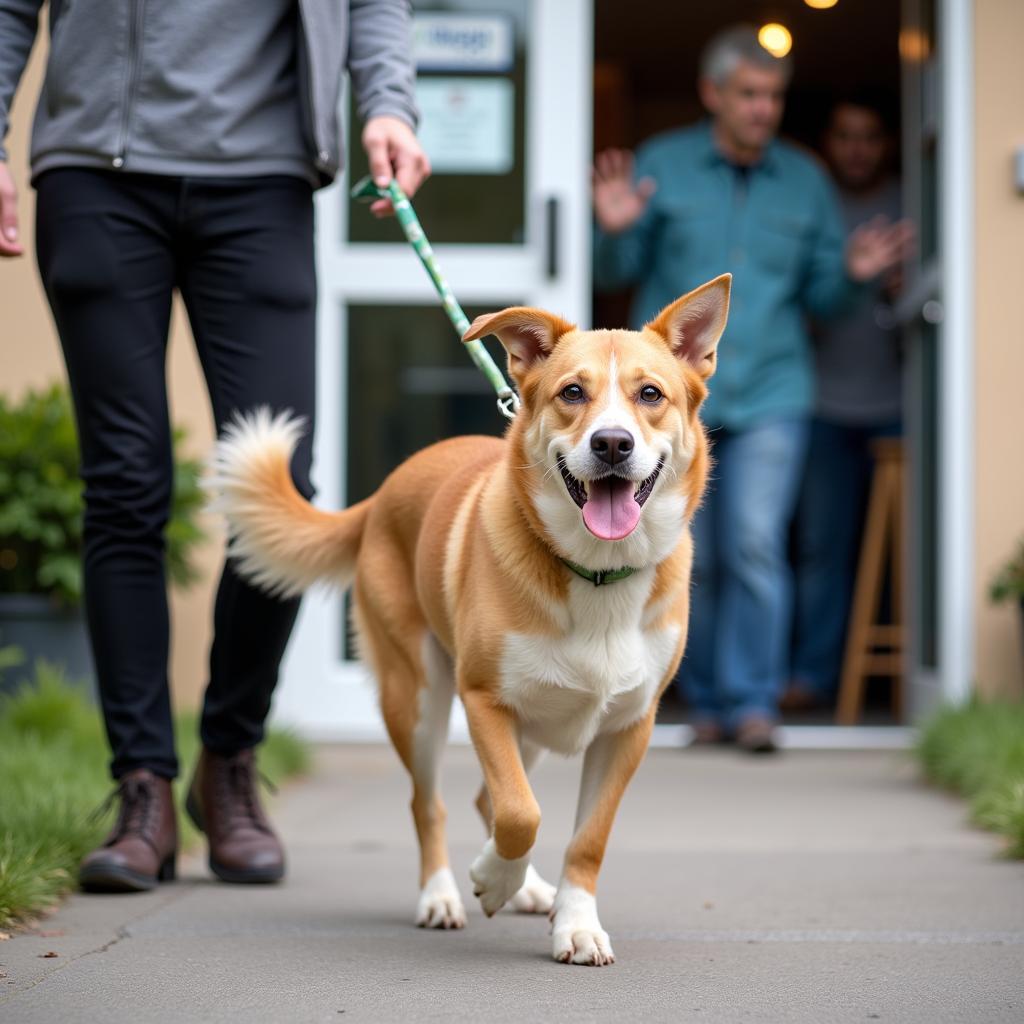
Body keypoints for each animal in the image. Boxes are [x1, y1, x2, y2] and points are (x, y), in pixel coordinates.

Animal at [209, 274, 729, 966]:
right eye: (572, 392)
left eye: (651, 394)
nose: (612, 444)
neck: (595, 571)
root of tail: (382, 493)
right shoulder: (483, 700)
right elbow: (519, 813)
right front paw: (491, 877)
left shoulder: (629, 728)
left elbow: (584, 837)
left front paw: (574, 922)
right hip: (420, 699)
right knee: (430, 804)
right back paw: (443, 896)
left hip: (534, 725)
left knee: (488, 795)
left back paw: (529, 889)